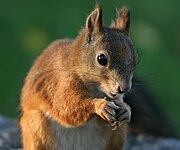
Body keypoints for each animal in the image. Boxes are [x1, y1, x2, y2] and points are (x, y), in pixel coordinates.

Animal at [19, 4, 139, 150]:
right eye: (102, 59)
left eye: (136, 60)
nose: (124, 88)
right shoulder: (61, 82)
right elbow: (66, 107)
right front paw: (100, 105)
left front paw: (126, 110)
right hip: (36, 125)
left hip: (118, 134)